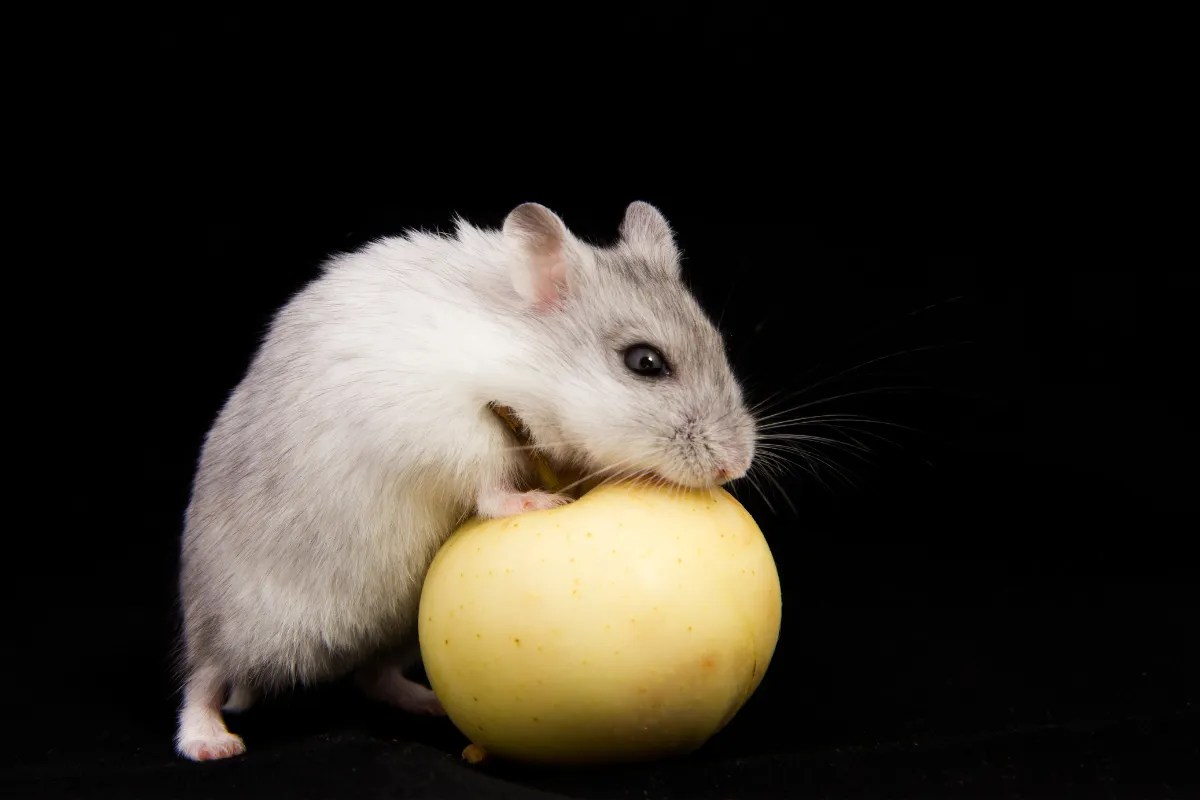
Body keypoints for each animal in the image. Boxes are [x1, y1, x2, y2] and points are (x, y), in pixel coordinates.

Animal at [175, 201, 757, 761]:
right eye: (645, 361)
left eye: (717, 343)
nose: (735, 467)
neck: (524, 359)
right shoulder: (456, 431)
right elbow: (490, 487)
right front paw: (538, 501)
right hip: (244, 619)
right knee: (204, 678)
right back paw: (211, 743)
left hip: (396, 627)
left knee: (372, 677)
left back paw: (427, 703)